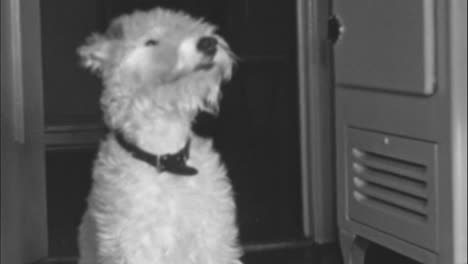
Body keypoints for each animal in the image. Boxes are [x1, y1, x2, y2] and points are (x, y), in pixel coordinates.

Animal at [77, 7, 241, 262]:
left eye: (190, 24)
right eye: (150, 41)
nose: (208, 43)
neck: (166, 158)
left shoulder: (212, 241)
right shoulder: (134, 246)